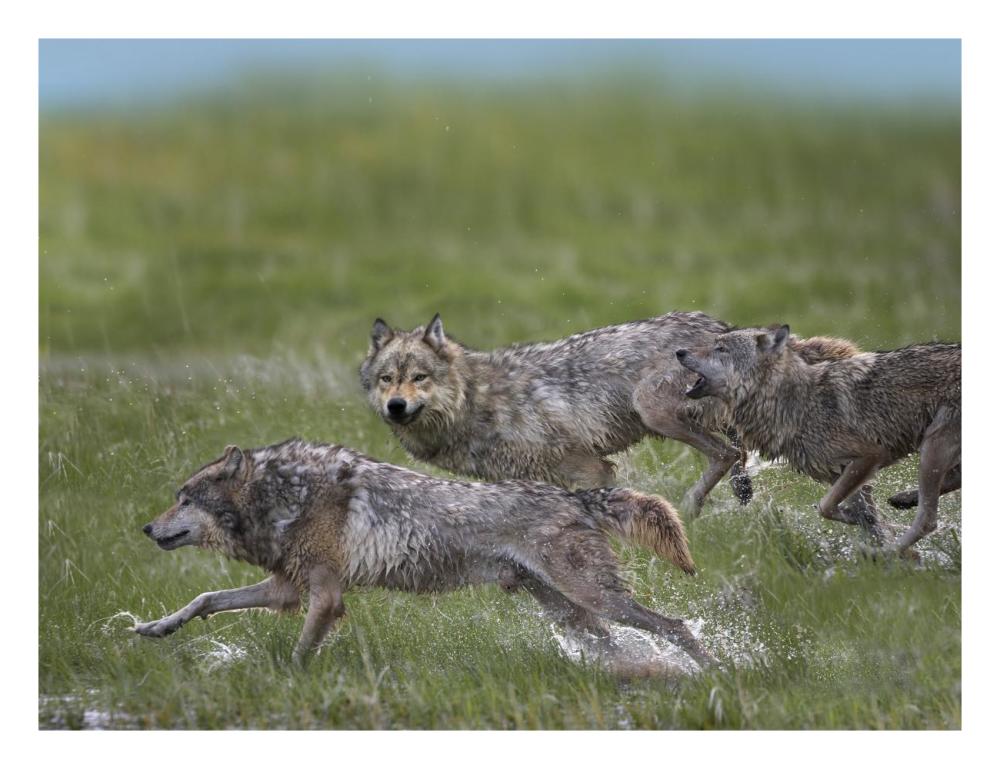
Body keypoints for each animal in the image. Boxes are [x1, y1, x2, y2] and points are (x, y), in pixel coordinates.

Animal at [134, 439, 715, 668]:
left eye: (184, 499)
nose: (145, 527)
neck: (284, 494)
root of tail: (575, 497)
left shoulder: (325, 597)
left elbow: (299, 655)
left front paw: (286, 685)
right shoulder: (285, 589)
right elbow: (206, 598)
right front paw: (154, 628)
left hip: (592, 597)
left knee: (675, 626)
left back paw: (718, 671)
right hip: (570, 612)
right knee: (618, 645)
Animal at [359, 312, 861, 515]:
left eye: (419, 377)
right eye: (387, 379)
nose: (396, 406)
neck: (477, 402)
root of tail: (721, 327)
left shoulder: (591, 468)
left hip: (651, 408)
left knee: (724, 454)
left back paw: (693, 506)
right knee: (735, 452)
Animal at [675, 325, 961, 554]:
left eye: (720, 348)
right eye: (714, 343)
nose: (679, 352)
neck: (796, 403)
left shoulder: (870, 455)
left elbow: (826, 506)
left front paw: (863, 528)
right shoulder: (842, 473)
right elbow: (863, 517)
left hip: (932, 449)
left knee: (927, 520)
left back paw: (887, 551)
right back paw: (903, 501)